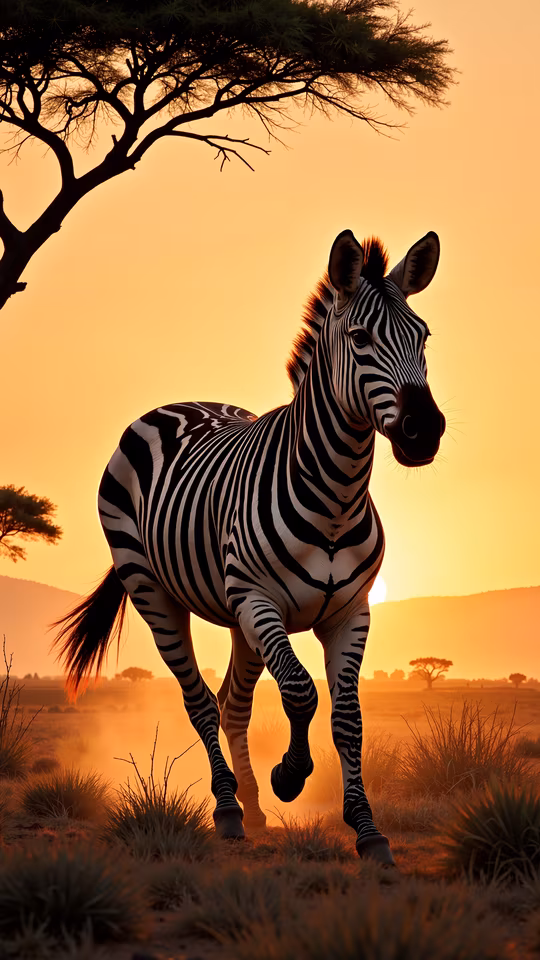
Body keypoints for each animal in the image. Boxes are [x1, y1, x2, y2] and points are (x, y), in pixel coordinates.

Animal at [54, 228, 445, 865]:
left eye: (424, 336)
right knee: (200, 702)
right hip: (157, 590)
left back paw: (253, 807)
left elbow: (347, 718)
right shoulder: (261, 601)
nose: (425, 430)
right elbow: (300, 692)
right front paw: (290, 775)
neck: (337, 495)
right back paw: (229, 808)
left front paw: (366, 829)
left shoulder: (350, 612)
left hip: (239, 617)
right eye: (360, 339)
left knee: (232, 702)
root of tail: (176, 404)